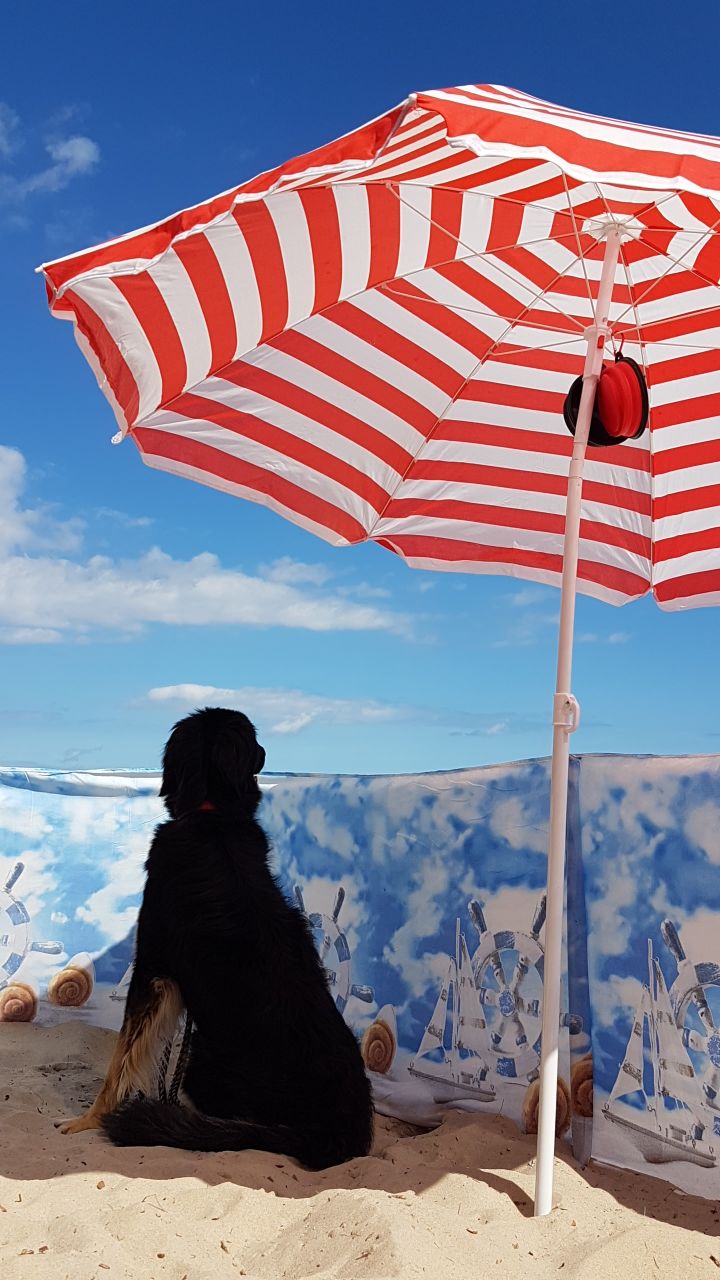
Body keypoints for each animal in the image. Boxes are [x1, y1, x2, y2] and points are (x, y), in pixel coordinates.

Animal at [58, 711, 371, 1172]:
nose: (266, 751)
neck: (212, 816)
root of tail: (343, 1131)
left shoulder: (152, 968)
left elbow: (121, 1059)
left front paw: (86, 1121)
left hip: (202, 1063)